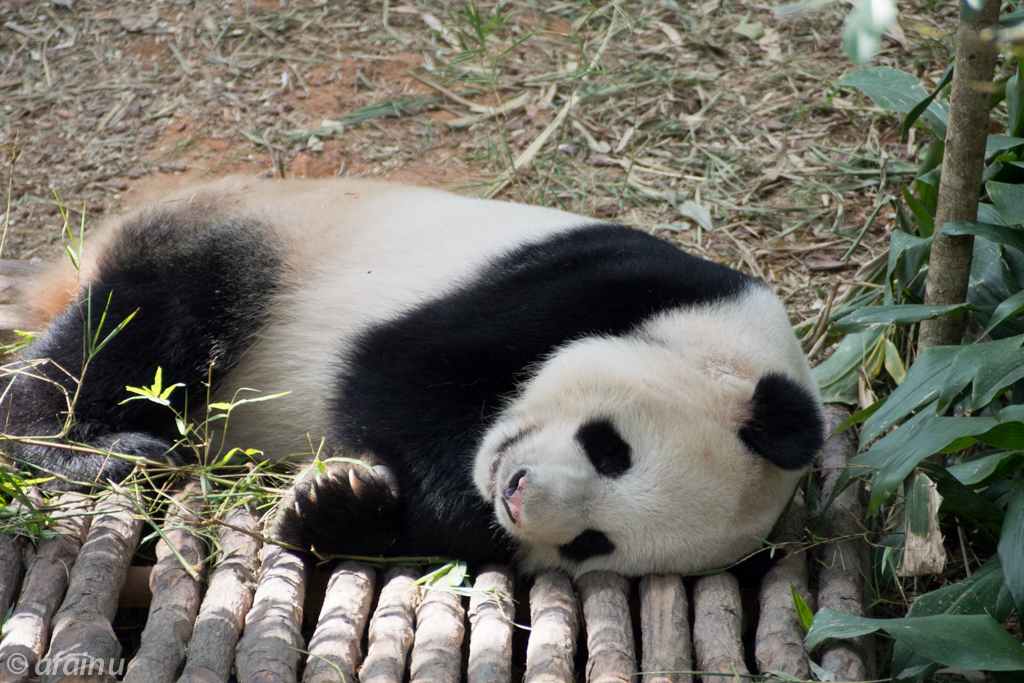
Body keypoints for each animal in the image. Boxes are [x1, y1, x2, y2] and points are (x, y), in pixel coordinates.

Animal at [2, 175, 823, 577]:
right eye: (610, 448)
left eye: (593, 544)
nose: (517, 494)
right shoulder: (597, 282)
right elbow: (400, 372)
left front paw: (336, 509)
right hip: (243, 238)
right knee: (148, 318)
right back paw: (86, 446)